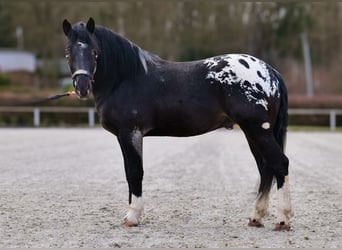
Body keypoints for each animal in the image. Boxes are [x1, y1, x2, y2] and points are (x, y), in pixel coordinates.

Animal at [62, 17, 292, 230]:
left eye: (94, 52)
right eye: (68, 52)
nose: (82, 87)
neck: (125, 78)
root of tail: (270, 71)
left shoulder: (130, 132)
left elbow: (135, 172)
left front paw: (132, 216)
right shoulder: (125, 135)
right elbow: (130, 171)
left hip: (258, 130)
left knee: (280, 164)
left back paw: (282, 220)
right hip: (252, 132)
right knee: (266, 169)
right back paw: (256, 217)